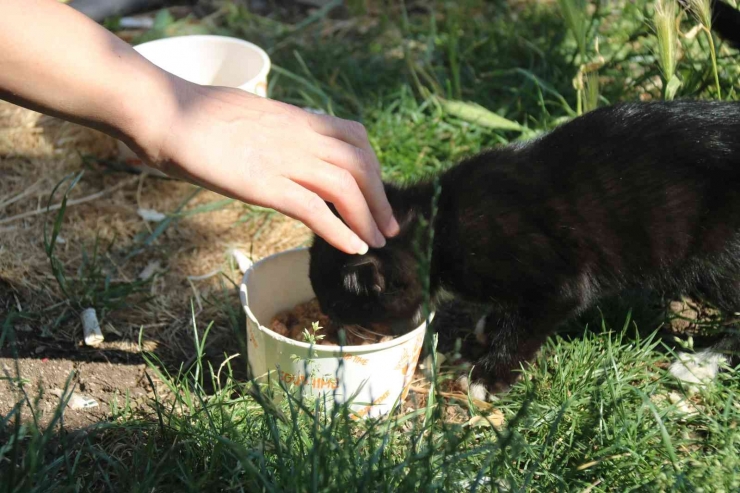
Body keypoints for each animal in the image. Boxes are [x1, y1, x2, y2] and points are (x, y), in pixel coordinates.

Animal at [310, 99, 740, 396]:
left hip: (714, 256)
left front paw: (487, 377)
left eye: (337, 306)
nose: (329, 325)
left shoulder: (556, 280)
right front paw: (489, 328)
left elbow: (530, 323)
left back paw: (703, 363)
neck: (439, 224)